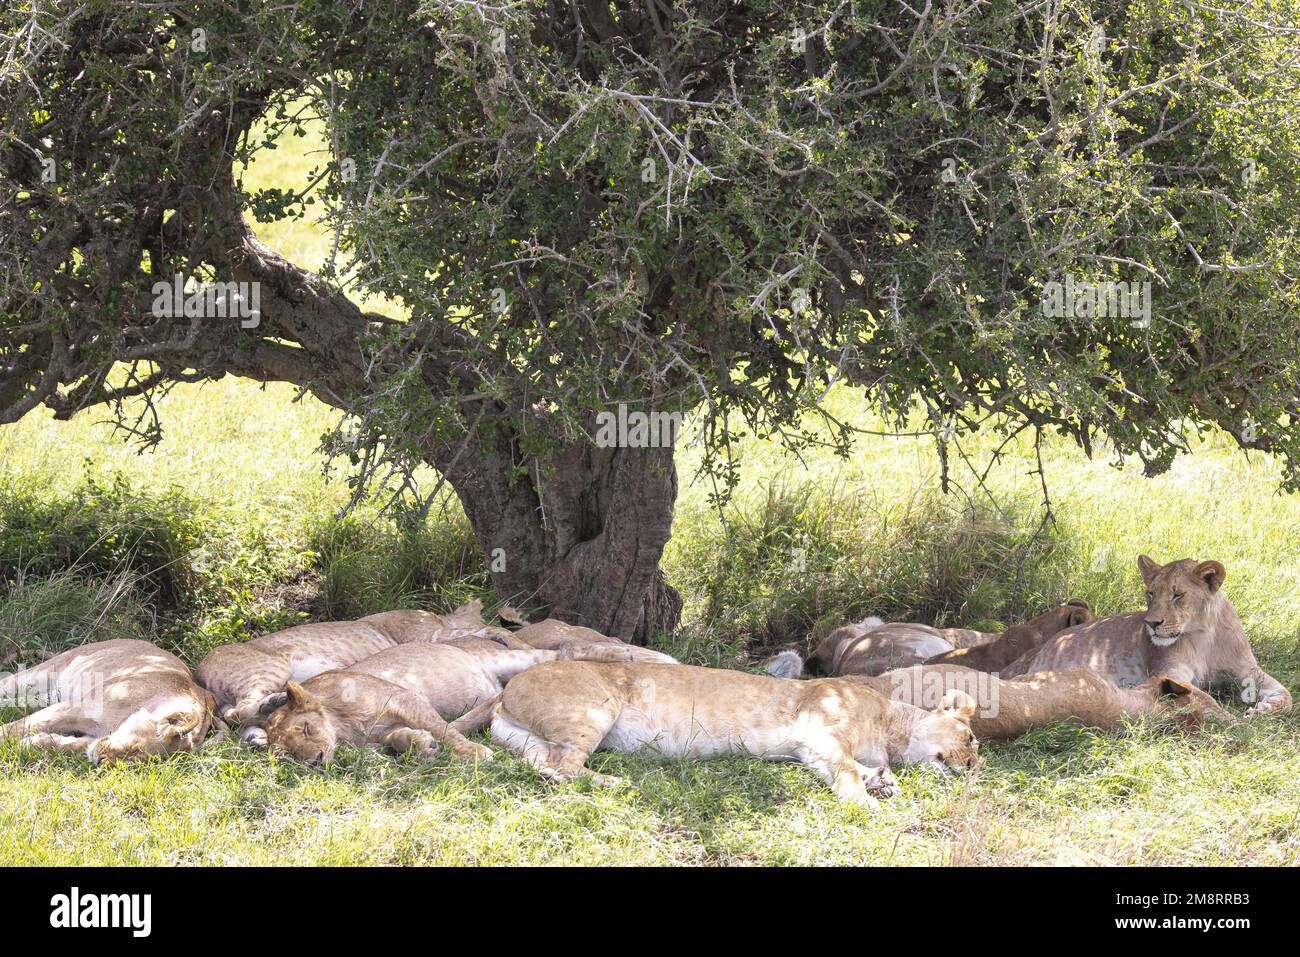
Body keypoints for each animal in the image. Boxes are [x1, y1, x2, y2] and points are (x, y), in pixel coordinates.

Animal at [0, 639, 216, 764]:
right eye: (135, 749)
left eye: (136, 764)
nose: (101, 763)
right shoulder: (76, 707)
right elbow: (17, 728)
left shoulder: (90, 734)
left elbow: (69, 744)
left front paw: (31, 743)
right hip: (47, 671)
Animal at [489, 661, 980, 806]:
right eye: (971, 739)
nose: (975, 765)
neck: (892, 726)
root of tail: (506, 691)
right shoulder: (820, 727)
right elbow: (846, 769)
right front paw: (865, 801)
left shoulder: (809, 748)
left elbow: (855, 766)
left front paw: (882, 782)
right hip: (593, 710)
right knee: (566, 765)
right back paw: (614, 781)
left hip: (527, 739)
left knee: (547, 763)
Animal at [1002, 556, 1291, 717]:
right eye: (1150, 593)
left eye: (1177, 595)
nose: (1151, 623)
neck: (1202, 635)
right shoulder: (1169, 671)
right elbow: (1204, 696)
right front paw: (1228, 718)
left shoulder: (1247, 670)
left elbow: (1286, 695)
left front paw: (1263, 709)